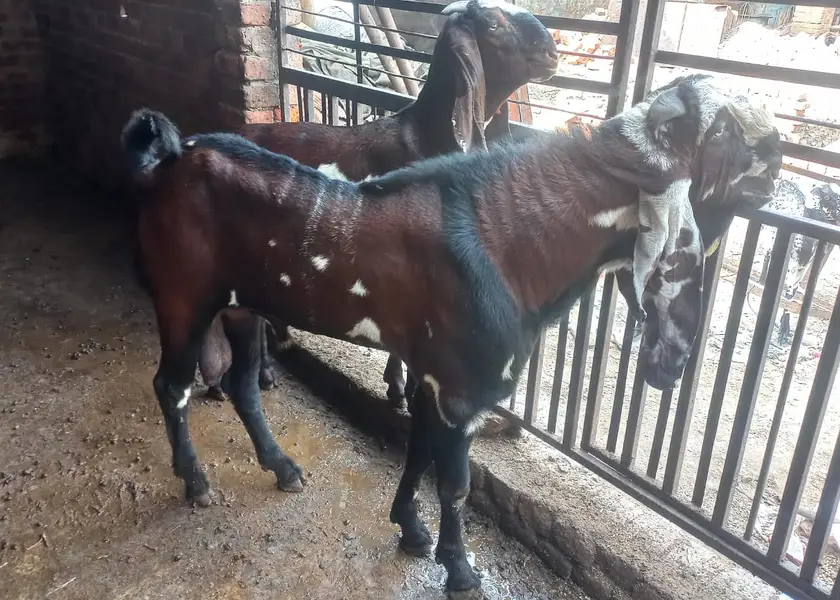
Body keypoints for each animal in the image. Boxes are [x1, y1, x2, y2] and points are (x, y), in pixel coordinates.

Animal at [120, 74, 780, 594]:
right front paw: (460, 571)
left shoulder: (431, 374)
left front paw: (411, 531)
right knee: (171, 386)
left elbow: (418, 451)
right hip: (183, 299)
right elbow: (456, 482)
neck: (510, 246)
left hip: (242, 307)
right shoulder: (464, 389)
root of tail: (171, 159)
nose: (778, 155)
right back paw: (197, 482)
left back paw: (282, 468)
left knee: (242, 385)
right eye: (729, 135)